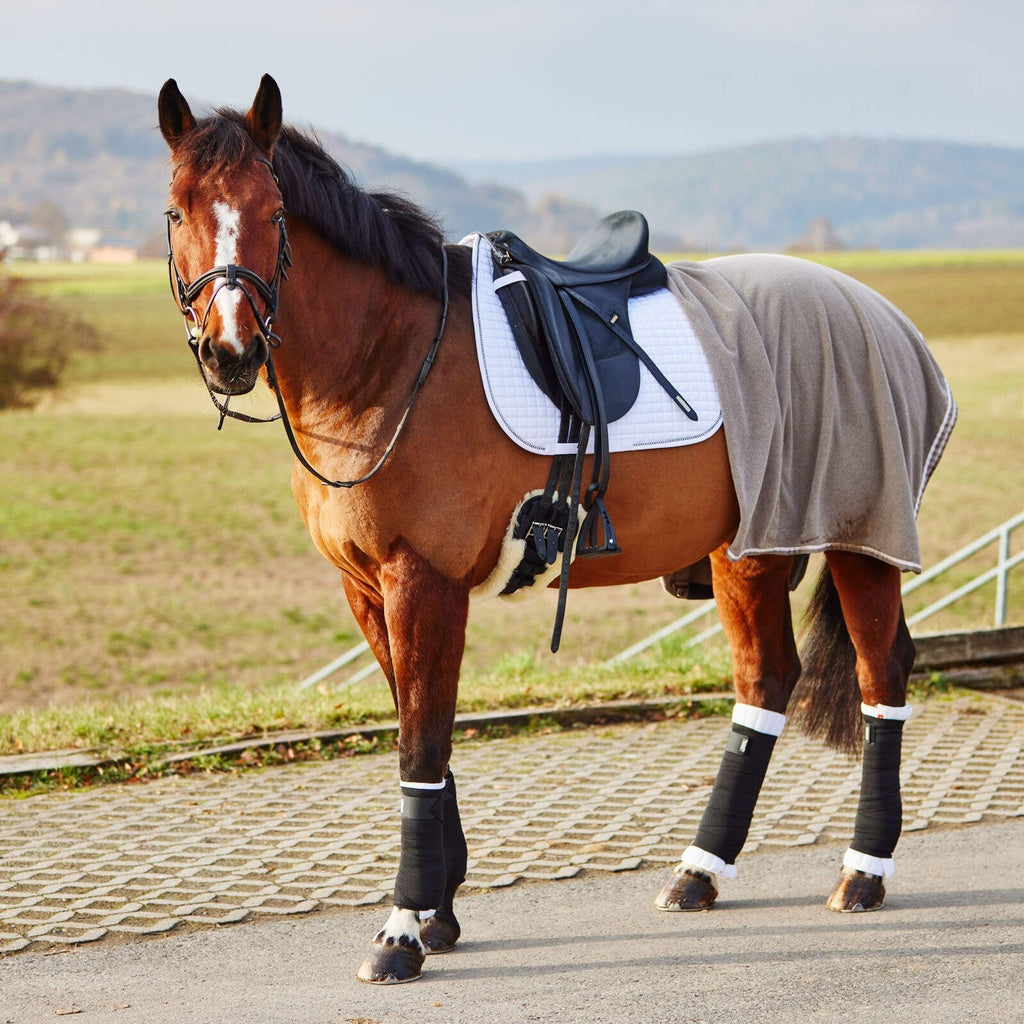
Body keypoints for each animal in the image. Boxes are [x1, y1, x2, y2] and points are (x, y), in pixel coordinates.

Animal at [155, 74, 954, 983]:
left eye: (273, 208)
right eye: (178, 210)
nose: (230, 351)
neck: (387, 361)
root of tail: (878, 311)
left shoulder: (421, 580)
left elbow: (420, 745)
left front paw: (401, 930)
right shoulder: (364, 587)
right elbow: (419, 730)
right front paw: (438, 909)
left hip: (858, 538)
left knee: (881, 676)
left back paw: (863, 872)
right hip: (747, 547)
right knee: (766, 680)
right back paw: (700, 871)